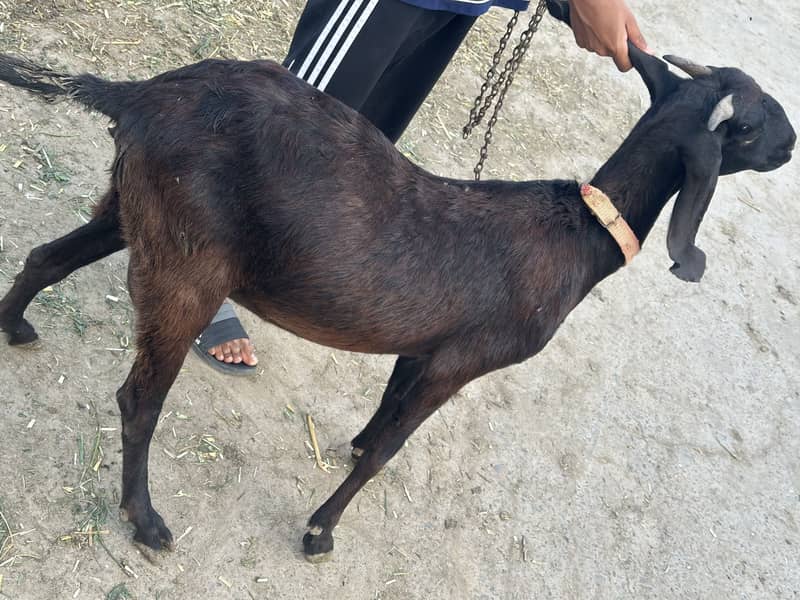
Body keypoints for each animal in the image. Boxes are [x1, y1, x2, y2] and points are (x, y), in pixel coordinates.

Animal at [0, 23, 794, 561]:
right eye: (753, 125)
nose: (791, 144)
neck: (580, 229)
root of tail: (139, 94)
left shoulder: (423, 348)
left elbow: (383, 415)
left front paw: (348, 448)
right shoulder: (462, 360)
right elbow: (389, 451)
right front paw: (320, 533)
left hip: (134, 211)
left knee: (46, 258)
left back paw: (15, 328)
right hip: (189, 264)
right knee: (139, 399)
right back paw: (147, 521)